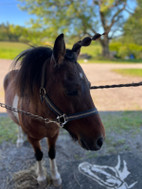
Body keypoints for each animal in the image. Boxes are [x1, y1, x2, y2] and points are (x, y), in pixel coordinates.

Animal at [3, 33, 105, 186]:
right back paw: (20, 140)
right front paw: (41, 178)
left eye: (89, 85)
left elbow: (52, 153)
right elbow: (38, 155)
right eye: (70, 90)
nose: (100, 140)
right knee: (18, 127)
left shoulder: (53, 135)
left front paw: (55, 177)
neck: (43, 117)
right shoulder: (33, 138)